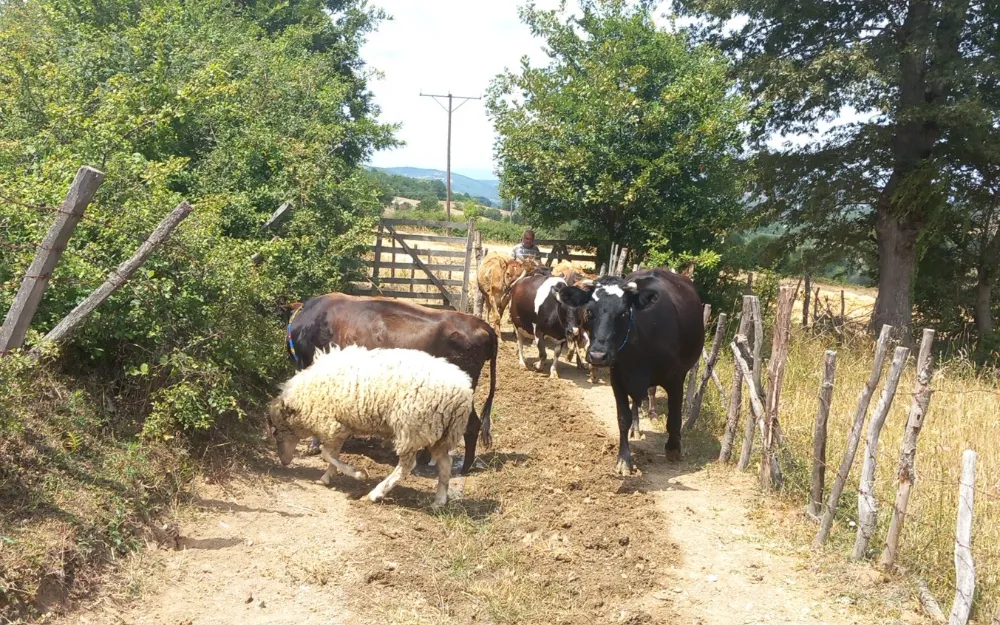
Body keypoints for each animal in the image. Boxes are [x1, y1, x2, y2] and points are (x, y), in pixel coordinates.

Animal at [268, 342, 474, 508]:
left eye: (277, 432)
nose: (284, 462)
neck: (304, 400)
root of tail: (464, 390)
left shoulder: (332, 425)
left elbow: (327, 454)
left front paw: (358, 473)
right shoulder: (340, 426)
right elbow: (332, 454)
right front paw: (326, 477)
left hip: (412, 428)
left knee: (406, 466)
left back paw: (376, 493)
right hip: (439, 432)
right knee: (445, 464)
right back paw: (439, 500)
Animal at [556, 268, 704, 472]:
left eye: (624, 313)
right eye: (589, 311)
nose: (597, 355)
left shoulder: (676, 378)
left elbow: (674, 415)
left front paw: (673, 448)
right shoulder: (618, 379)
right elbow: (623, 418)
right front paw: (624, 459)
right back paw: (635, 427)